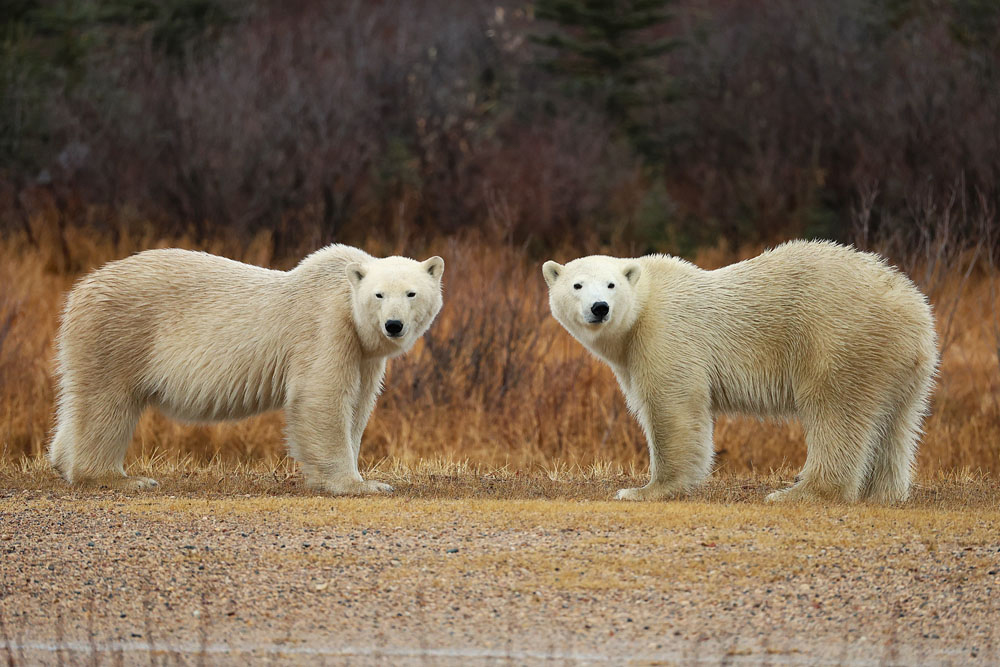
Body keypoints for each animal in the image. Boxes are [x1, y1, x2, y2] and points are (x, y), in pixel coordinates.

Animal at [47, 245, 446, 496]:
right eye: (379, 295)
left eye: (411, 293)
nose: (393, 325)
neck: (345, 295)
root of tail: (79, 289)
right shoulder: (326, 326)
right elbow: (321, 399)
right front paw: (360, 484)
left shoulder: (364, 354)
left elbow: (359, 404)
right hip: (119, 332)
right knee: (109, 404)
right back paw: (120, 479)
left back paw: (61, 462)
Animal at [544, 243, 932, 504]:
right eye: (577, 285)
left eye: (611, 285)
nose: (600, 308)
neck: (646, 300)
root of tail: (911, 306)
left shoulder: (666, 333)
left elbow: (673, 407)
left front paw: (644, 490)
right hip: (902, 362)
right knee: (897, 423)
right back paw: (882, 492)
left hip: (840, 338)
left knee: (836, 412)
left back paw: (799, 493)